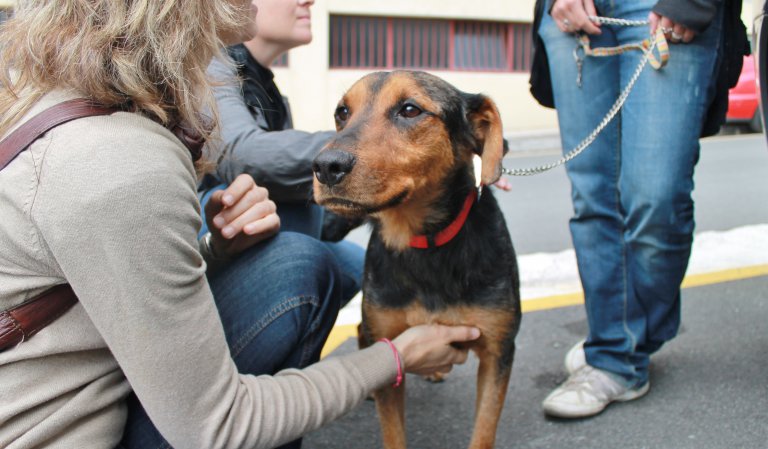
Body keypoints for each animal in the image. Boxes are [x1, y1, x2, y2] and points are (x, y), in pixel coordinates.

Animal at [312, 70, 520, 448]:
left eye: (410, 110)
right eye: (342, 113)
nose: (325, 166)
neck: (425, 243)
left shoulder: (499, 351)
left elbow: (484, 431)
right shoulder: (388, 341)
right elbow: (393, 431)